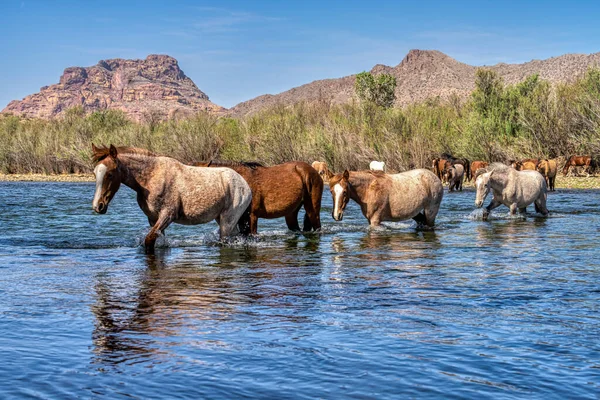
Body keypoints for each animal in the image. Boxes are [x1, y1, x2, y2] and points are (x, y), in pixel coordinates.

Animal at [92, 145, 253, 253]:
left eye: (110, 174)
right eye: (95, 173)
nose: (98, 206)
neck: (150, 178)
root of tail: (245, 185)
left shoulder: (168, 215)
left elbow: (148, 241)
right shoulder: (153, 219)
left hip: (228, 220)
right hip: (222, 219)